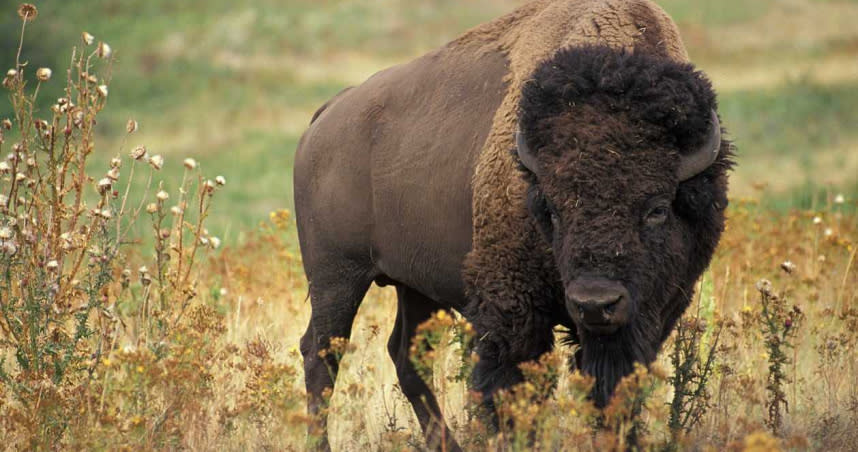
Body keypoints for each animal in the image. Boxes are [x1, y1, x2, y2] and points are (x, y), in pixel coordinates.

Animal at [292, 0, 728, 448]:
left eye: (657, 208)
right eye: (551, 209)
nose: (595, 303)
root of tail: (327, 117)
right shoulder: (513, 309)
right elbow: (512, 389)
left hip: (414, 286)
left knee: (406, 355)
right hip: (336, 277)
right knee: (322, 354)